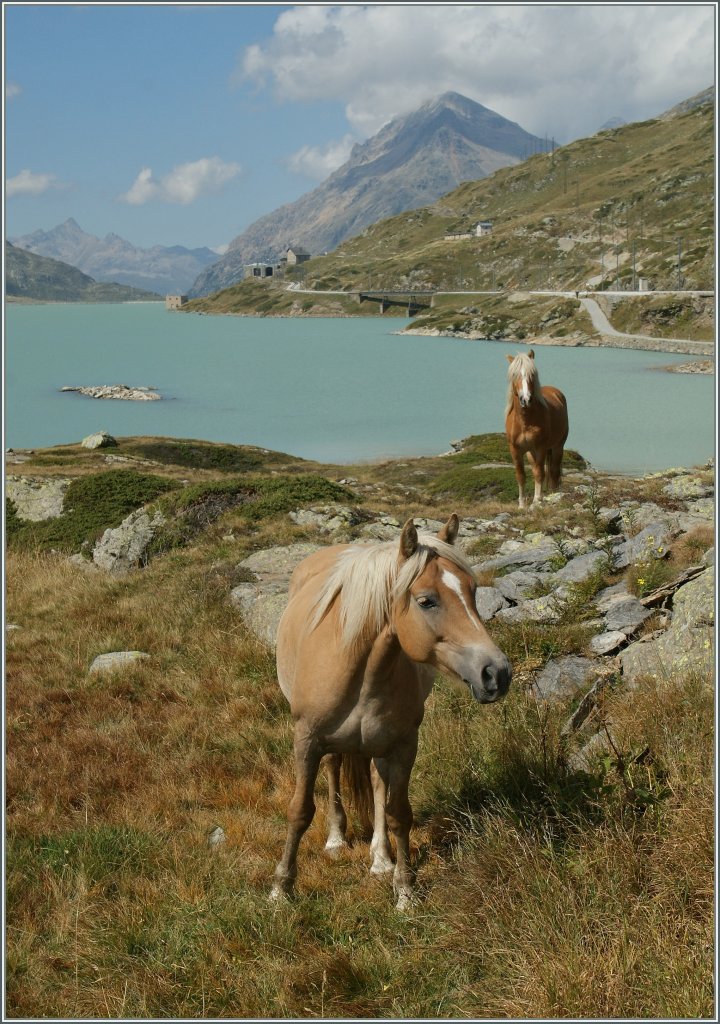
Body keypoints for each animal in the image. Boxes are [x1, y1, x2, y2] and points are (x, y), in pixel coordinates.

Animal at [272, 516, 512, 909]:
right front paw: (281, 888)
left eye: (473, 592)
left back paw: (381, 858)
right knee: (334, 768)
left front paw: (405, 890)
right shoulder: (306, 740)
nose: (497, 673)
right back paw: (336, 838)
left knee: (376, 783)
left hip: (379, 745)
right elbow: (299, 810)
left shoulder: (403, 745)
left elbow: (399, 813)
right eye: (426, 601)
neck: (362, 668)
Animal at [507, 350, 569, 509]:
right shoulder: (515, 449)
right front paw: (522, 505)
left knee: (553, 471)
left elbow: (540, 473)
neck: (525, 421)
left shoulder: (540, 447)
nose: (526, 399)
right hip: (531, 452)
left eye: (532, 374)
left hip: (557, 447)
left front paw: (536, 502)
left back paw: (553, 495)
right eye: (515, 375)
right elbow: (521, 475)